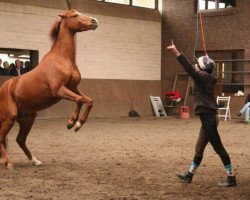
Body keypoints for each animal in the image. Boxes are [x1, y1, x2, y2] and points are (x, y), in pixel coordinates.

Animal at [0, 9, 98, 169]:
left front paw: (77, 125)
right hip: (9, 118)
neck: (62, 59)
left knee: (20, 140)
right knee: (1, 138)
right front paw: (72, 123)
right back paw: (8, 163)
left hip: (28, 119)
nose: (94, 21)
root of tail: (4, 88)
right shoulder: (59, 90)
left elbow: (88, 101)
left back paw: (35, 160)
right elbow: (79, 100)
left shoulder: (72, 88)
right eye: (74, 15)